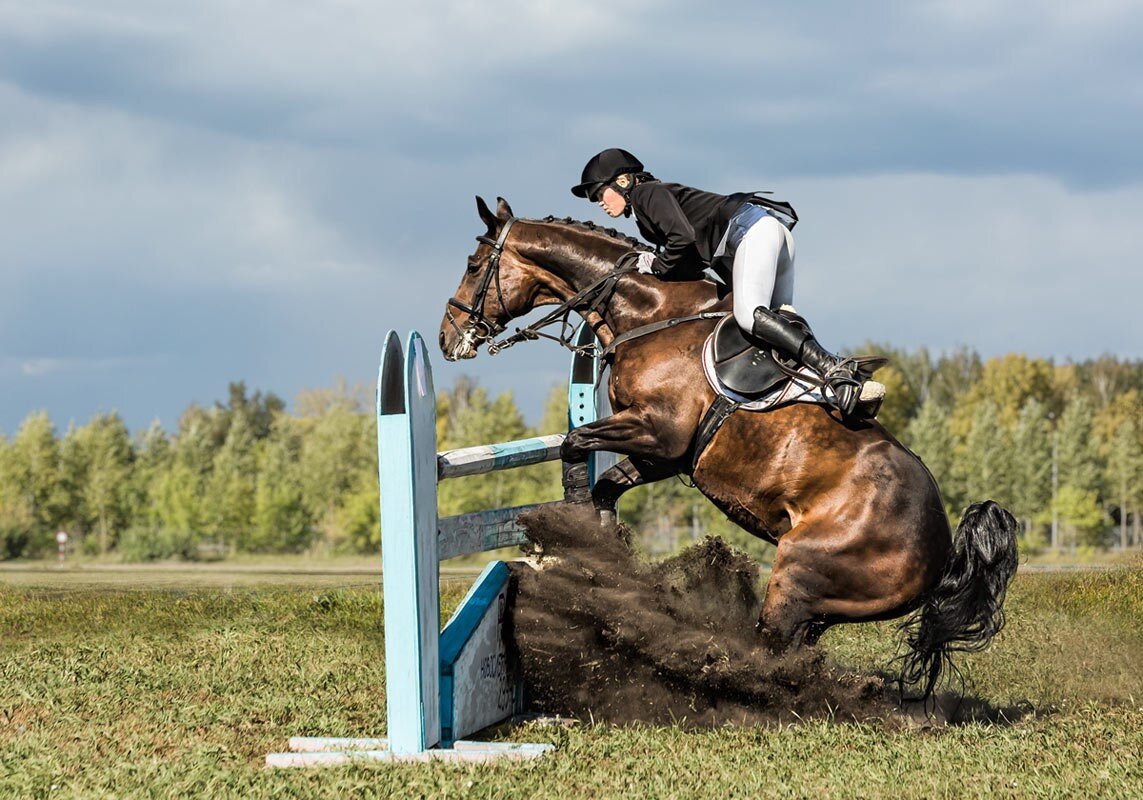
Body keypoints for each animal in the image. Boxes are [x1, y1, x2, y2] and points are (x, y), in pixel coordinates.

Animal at [438, 196, 1019, 694]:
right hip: (822, 604)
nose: (447, 338)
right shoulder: (663, 452)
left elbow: (574, 444)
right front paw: (603, 552)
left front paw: (568, 528)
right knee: (794, 654)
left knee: (772, 652)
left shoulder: (659, 429)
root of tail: (945, 548)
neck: (647, 314)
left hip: (799, 570)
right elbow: (605, 486)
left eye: (473, 263)